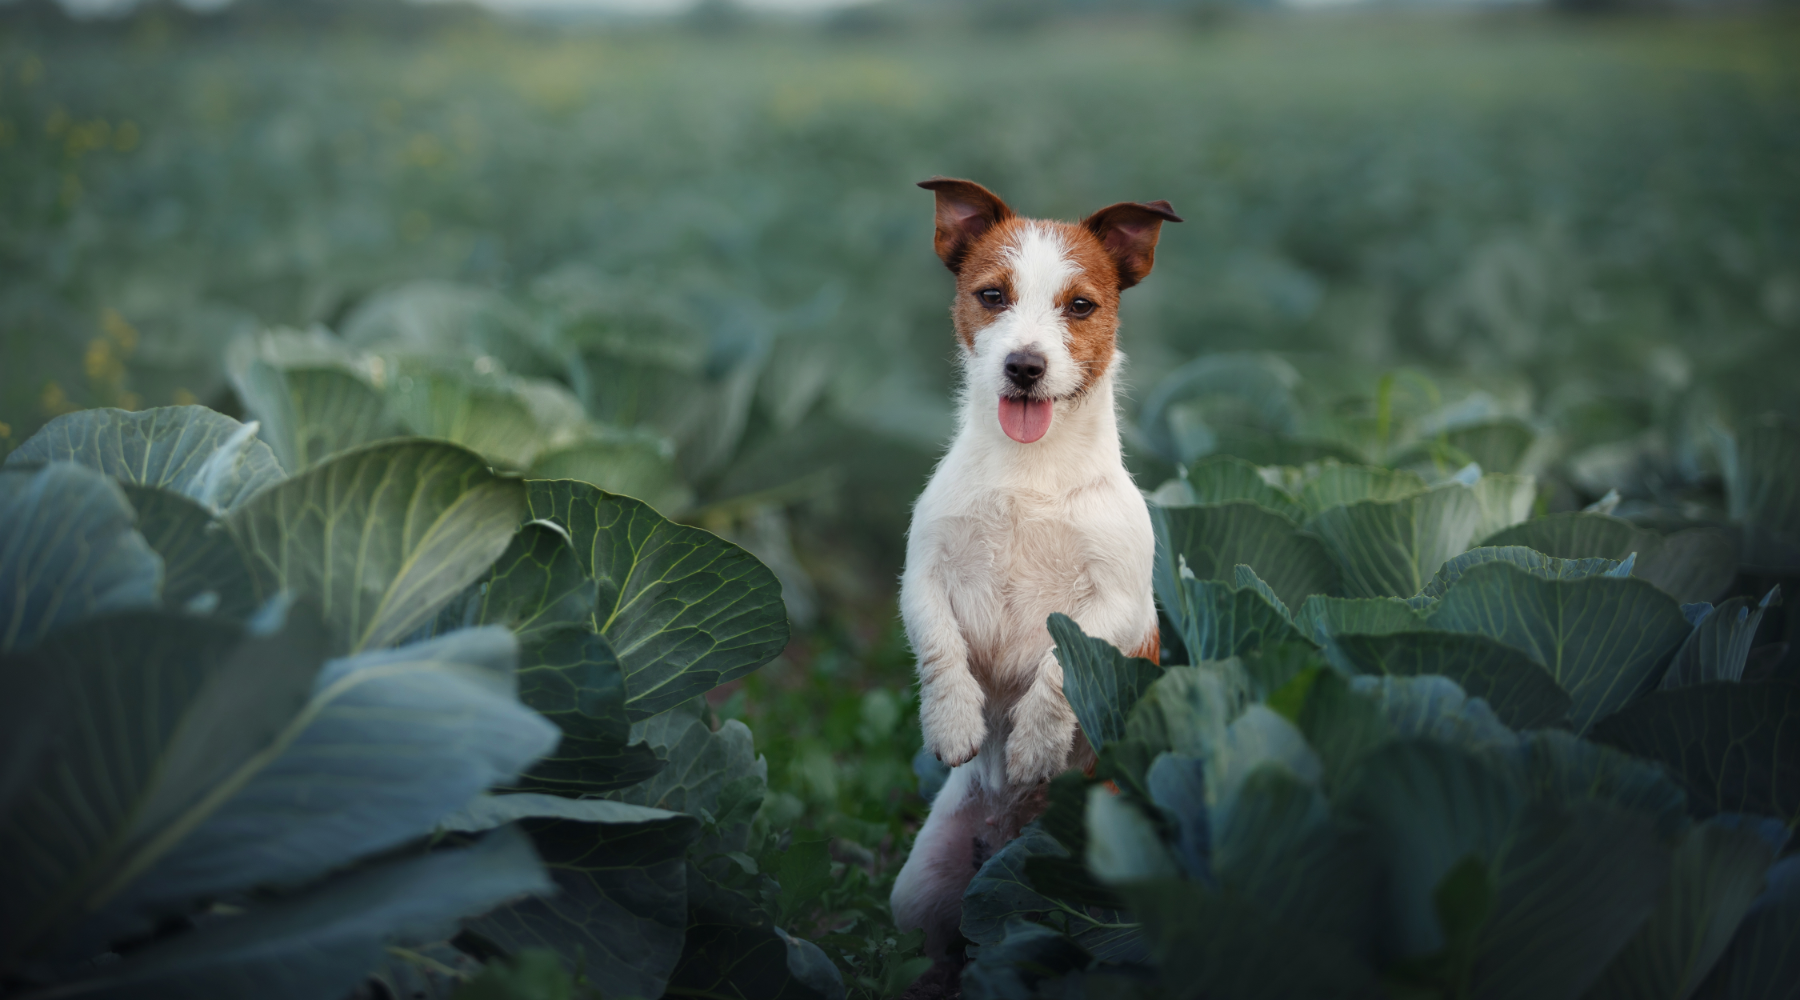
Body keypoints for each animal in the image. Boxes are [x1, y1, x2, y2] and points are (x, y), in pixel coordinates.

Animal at [889, 181, 1173, 971]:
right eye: (992, 295)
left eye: (1080, 305)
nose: (1024, 365)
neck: (1030, 472)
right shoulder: (923, 576)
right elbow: (941, 650)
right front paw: (954, 724)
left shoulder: (1118, 602)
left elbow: (1056, 669)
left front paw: (1036, 745)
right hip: (919, 890)